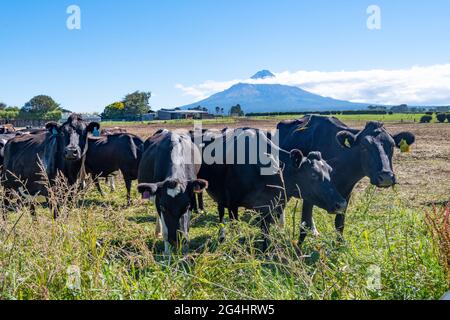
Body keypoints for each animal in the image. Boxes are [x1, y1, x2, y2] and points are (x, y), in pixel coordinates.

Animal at [192, 127, 344, 250]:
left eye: (330, 171)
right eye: (313, 174)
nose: (341, 204)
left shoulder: (271, 206)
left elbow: (266, 232)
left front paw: (266, 250)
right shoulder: (232, 201)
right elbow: (235, 223)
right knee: (219, 211)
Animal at [276, 115, 416, 242]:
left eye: (391, 145)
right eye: (364, 146)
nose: (386, 176)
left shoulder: (345, 194)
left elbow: (340, 223)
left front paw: (339, 244)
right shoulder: (309, 191)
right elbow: (303, 225)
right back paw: (281, 228)